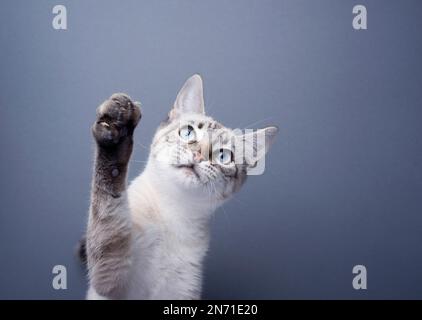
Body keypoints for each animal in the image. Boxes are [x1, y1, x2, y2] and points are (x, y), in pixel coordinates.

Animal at [84, 75, 278, 300]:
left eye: (223, 156)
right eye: (187, 133)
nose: (198, 156)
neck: (174, 212)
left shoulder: (182, 292)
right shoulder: (112, 276)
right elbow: (110, 193)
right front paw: (117, 128)